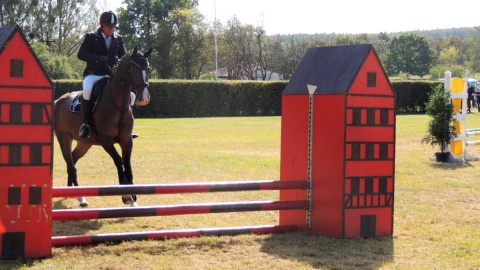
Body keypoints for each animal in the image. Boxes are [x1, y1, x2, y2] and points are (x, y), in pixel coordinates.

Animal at [54, 46, 152, 207]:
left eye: (148, 69)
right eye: (133, 69)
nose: (144, 98)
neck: (118, 104)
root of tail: (58, 101)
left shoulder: (126, 140)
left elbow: (127, 165)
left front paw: (133, 199)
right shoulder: (106, 140)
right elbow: (119, 161)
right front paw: (126, 196)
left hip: (84, 143)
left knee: (73, 160)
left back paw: (71, 191)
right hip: (64, 138)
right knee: (70, 163)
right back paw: (81, 197)